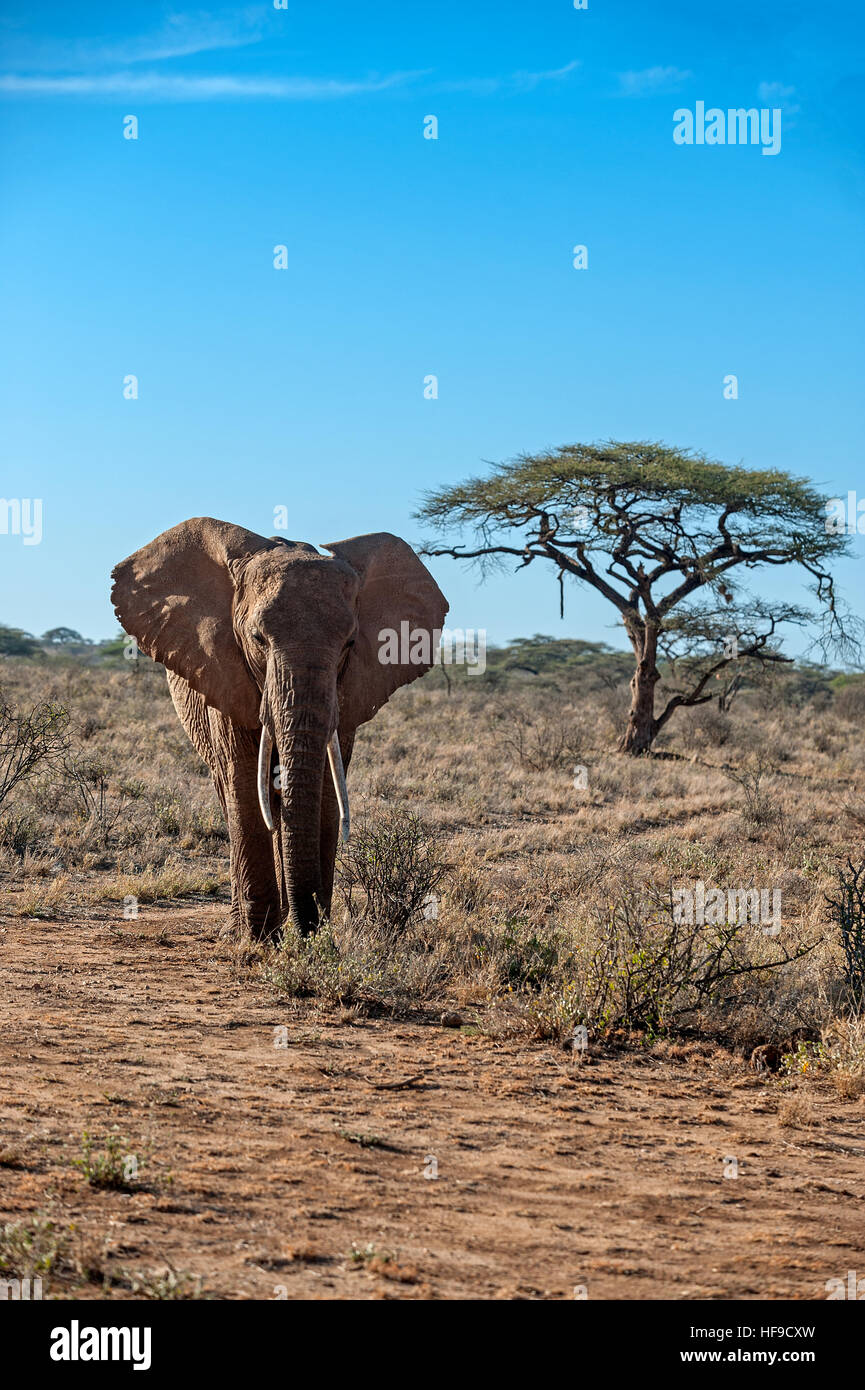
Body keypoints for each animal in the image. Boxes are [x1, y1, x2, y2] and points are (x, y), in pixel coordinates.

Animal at [109, 522, 447, 945]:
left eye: (350, 643)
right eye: (258, 639)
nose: (310, 930)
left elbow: (325, 788)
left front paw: (312, 936)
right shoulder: (226, 673)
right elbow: (243, 782)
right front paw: (257, 940)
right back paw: (242, 926)